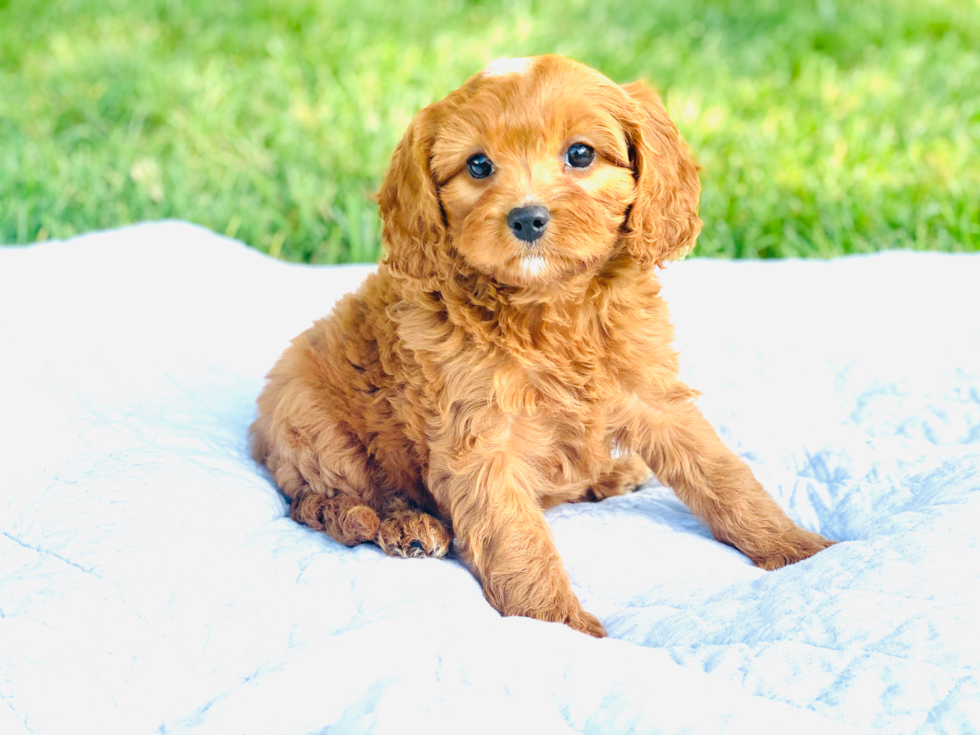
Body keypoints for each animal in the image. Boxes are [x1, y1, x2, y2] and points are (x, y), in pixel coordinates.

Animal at [253, 56, 836, 640]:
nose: (527, 218)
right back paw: (409, 526)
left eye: (580, 154)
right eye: (478, 165)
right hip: (313, 423)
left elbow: (721, 473)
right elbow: (517, 538)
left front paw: (799, 548)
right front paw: (558, 626)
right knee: (335, 505)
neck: (550, 308)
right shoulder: (480, 440)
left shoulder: (653, 394)